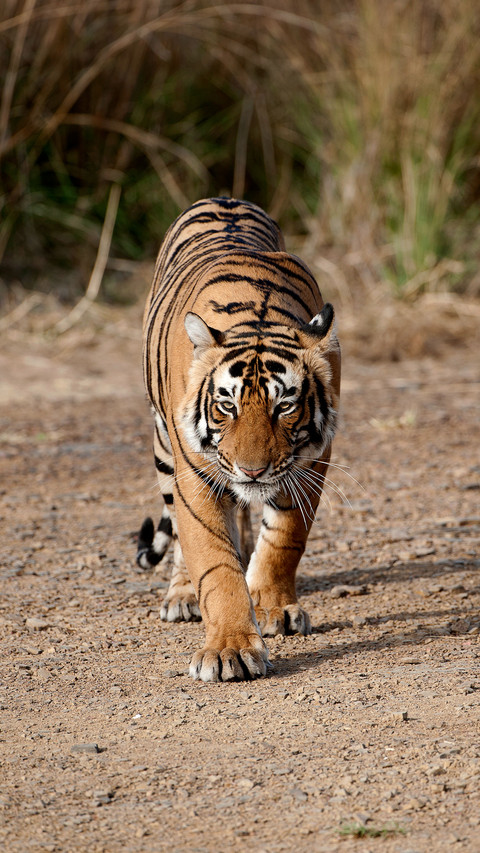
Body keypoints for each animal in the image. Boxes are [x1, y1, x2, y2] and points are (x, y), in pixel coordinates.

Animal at [137, 197, 341, 683]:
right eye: (226, 405)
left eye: (284, 405)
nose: (252, 470)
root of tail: (224, 198)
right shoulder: (195, 473)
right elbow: (213, 561)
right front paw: (229, 649)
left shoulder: (311, 461)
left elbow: (285, 538)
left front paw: (273, 607)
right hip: (164, 450)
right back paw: (182, 596)